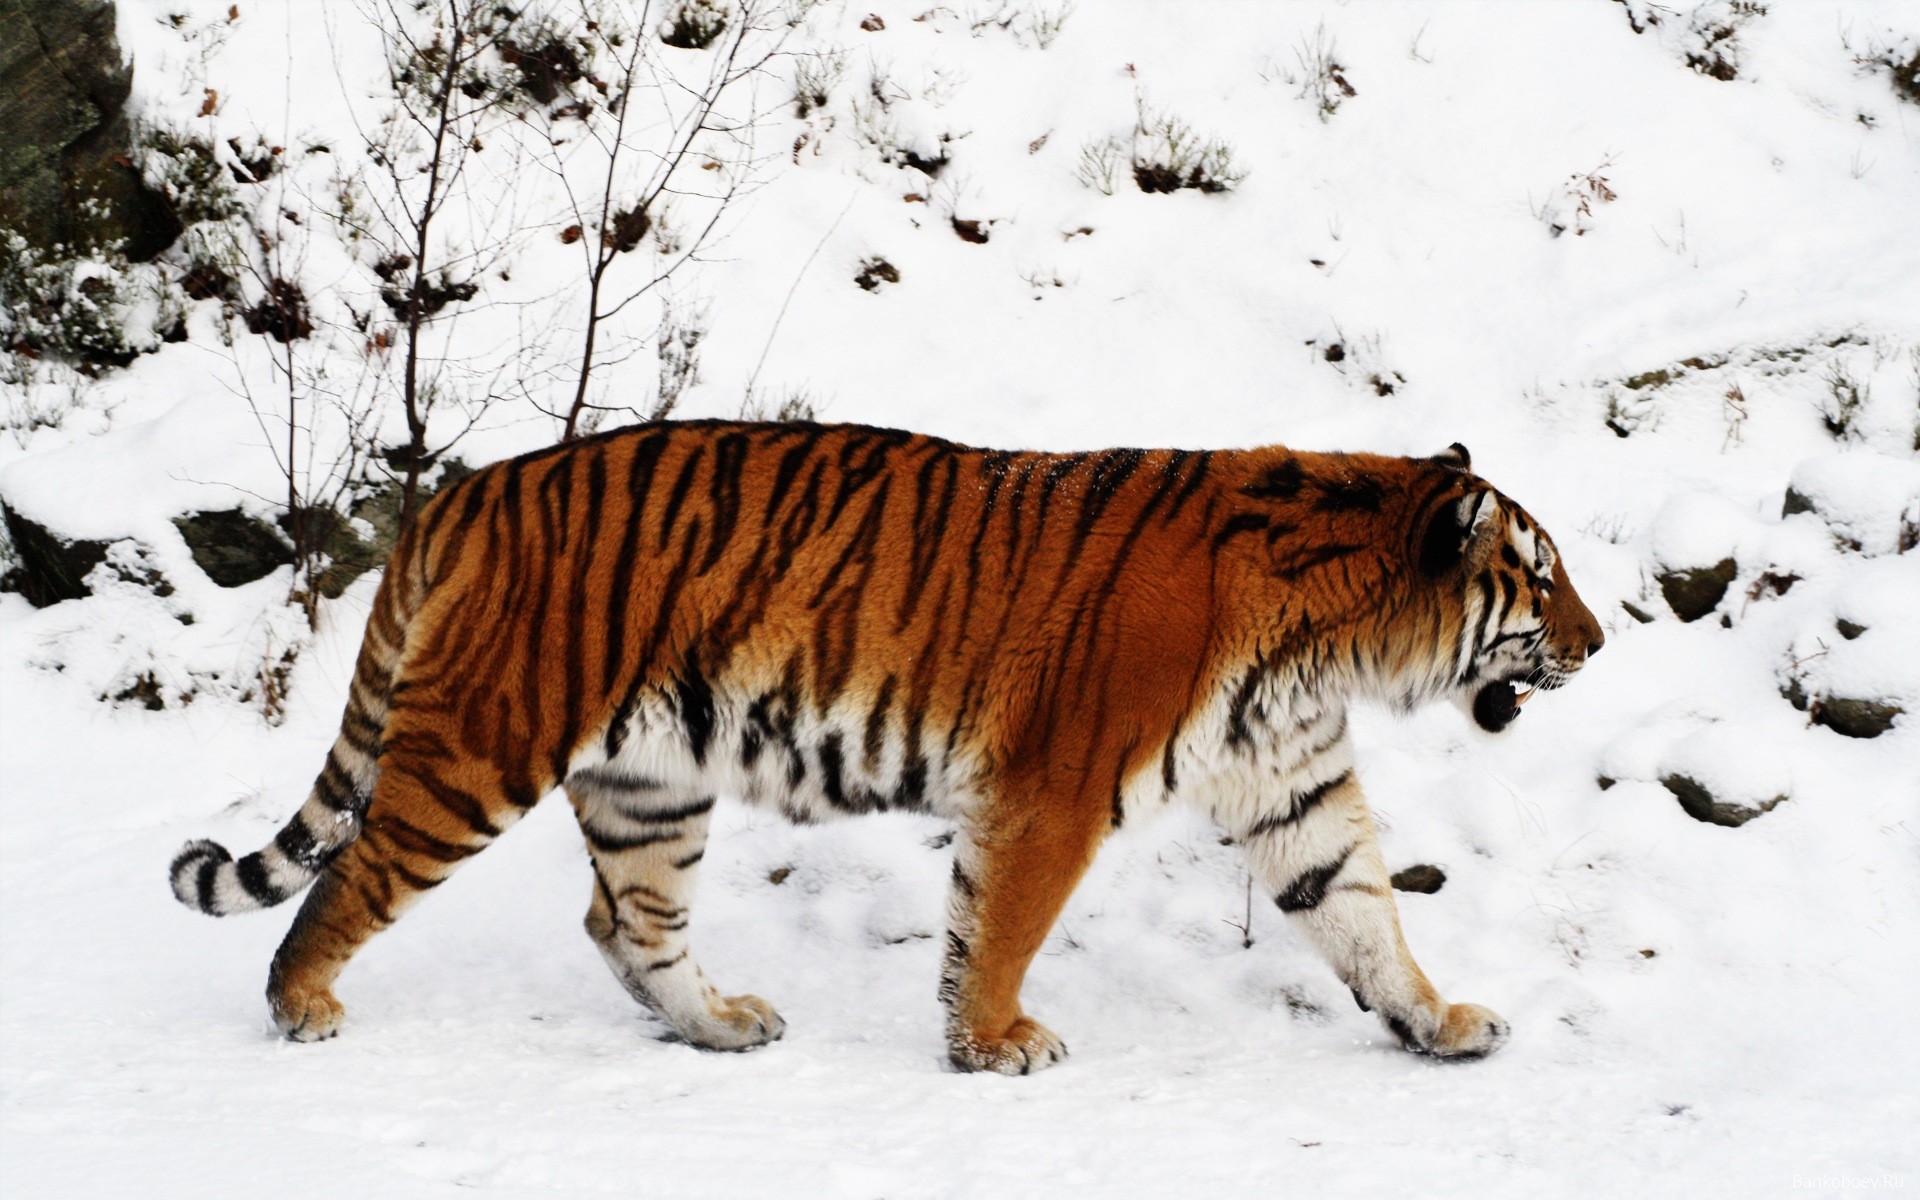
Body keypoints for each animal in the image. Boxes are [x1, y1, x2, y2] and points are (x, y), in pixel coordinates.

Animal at [170, 421, 1603, 1074]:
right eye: (1540, 578)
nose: (1598, 643)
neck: (1331, 641)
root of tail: (462, 491)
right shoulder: (1053, 786)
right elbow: (1005, 923)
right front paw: (996, 1042)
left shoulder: (1292, 787)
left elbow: (1363, 916)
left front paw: (1439, 1023)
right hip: (482, 745)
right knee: (355, 877)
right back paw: (302, 1007)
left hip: (652, 786)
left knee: (625, 922)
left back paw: (720, 1026)